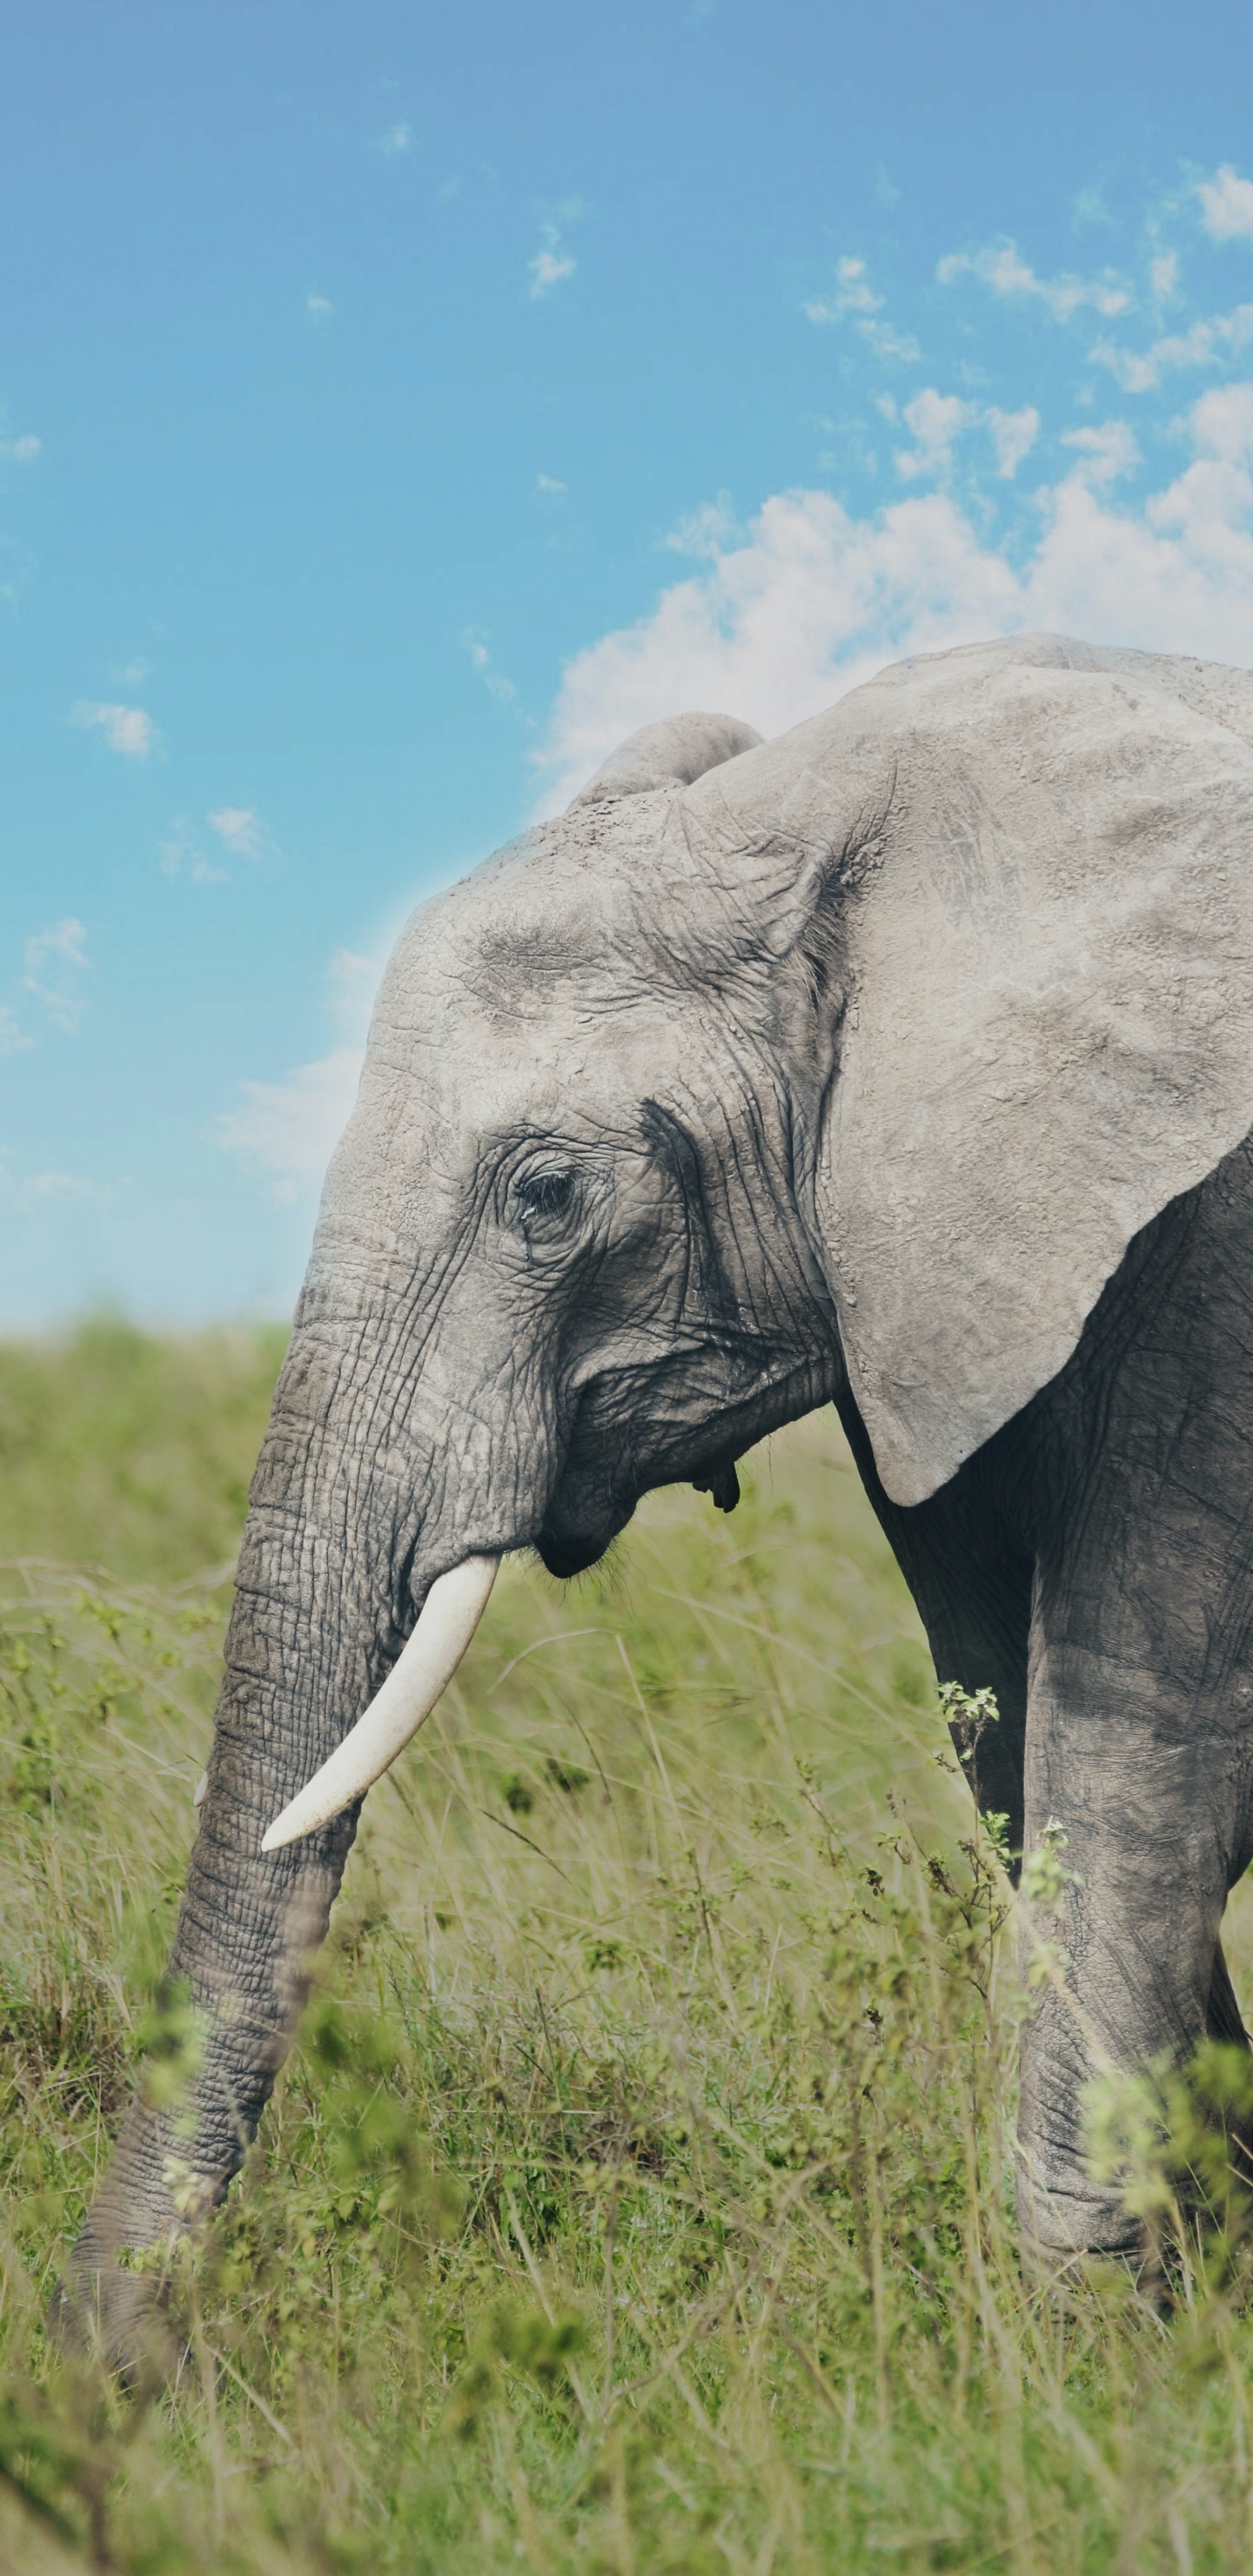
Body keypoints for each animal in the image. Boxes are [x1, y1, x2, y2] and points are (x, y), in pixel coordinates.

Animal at [66, 626, 1253, 2344]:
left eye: (548, 1194)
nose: (102, 2369)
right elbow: (1014, 1735)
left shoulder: (1219, 1240)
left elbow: (1140, 1737)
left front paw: (1094, 2349)